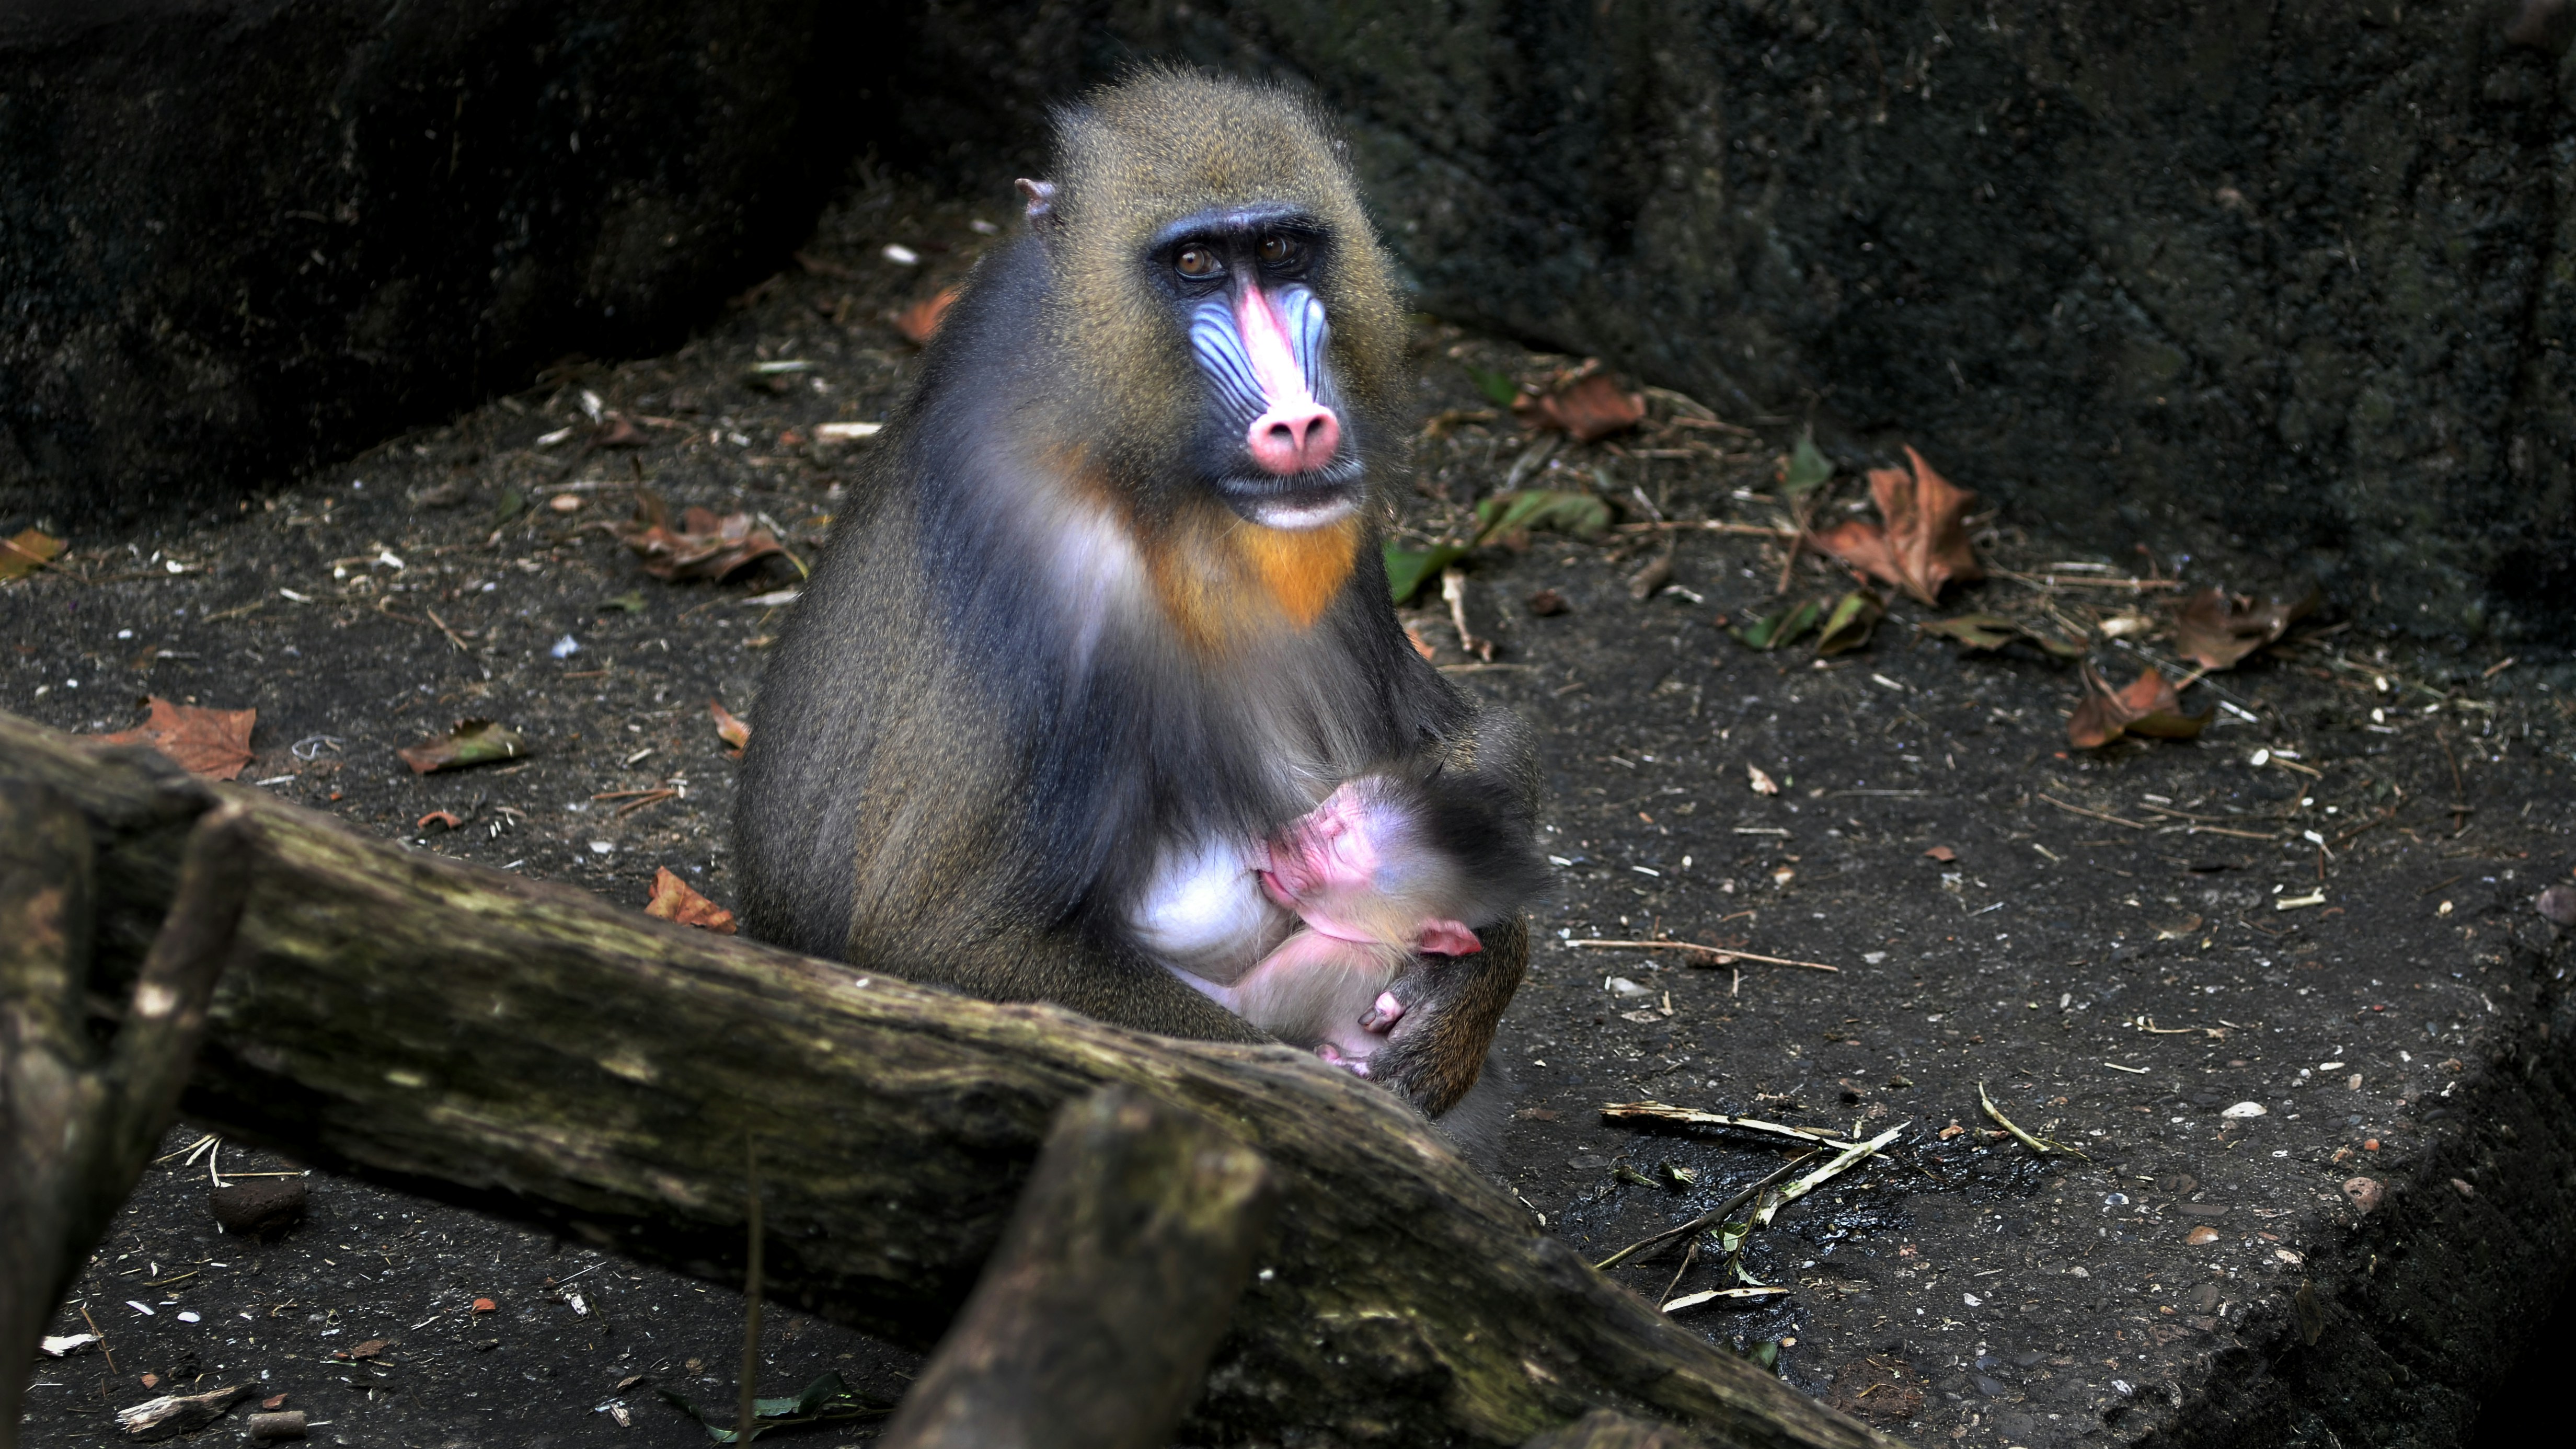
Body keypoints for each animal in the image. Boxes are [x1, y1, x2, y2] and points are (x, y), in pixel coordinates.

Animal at [732, 70, 1545, 1115]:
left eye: (1281, 251)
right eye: (1194, 263)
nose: (1298, 423)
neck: (1156, 485)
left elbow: (1468, 747)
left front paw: (1465, 991)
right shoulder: (1050, 564)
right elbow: (937, 942)